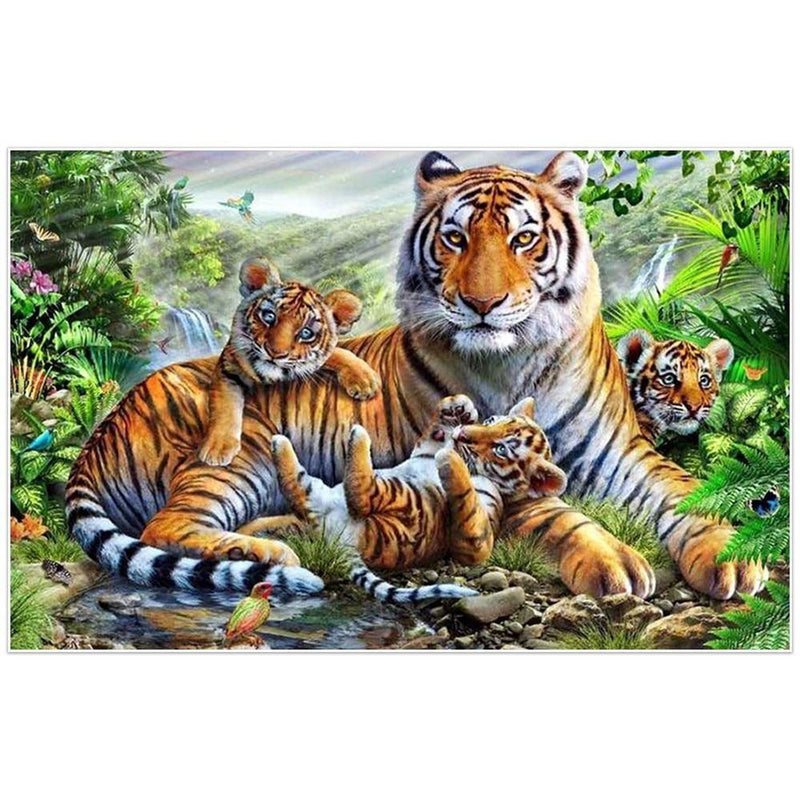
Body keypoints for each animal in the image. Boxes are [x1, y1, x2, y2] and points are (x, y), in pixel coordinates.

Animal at [198, 257, 381, 466]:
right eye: (269, 316)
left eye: (306, 333)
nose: (275, 353)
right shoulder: (228, 366)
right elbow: (225, 404)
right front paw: (218, 448)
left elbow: (336, 353)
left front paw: (365, 379)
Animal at [270, 395, 566, 601]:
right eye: (492, 421)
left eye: (501, 449)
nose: (462, 433)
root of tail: (339, 541)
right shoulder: (425, 448)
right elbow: (433, 433)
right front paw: (459, 406)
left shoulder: (478, 539)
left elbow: (468, 502)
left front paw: (450, 459)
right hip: (319, 493)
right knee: (297, 489)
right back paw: (279, 443)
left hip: (407, 503)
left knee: (363, 494)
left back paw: (358, 435)